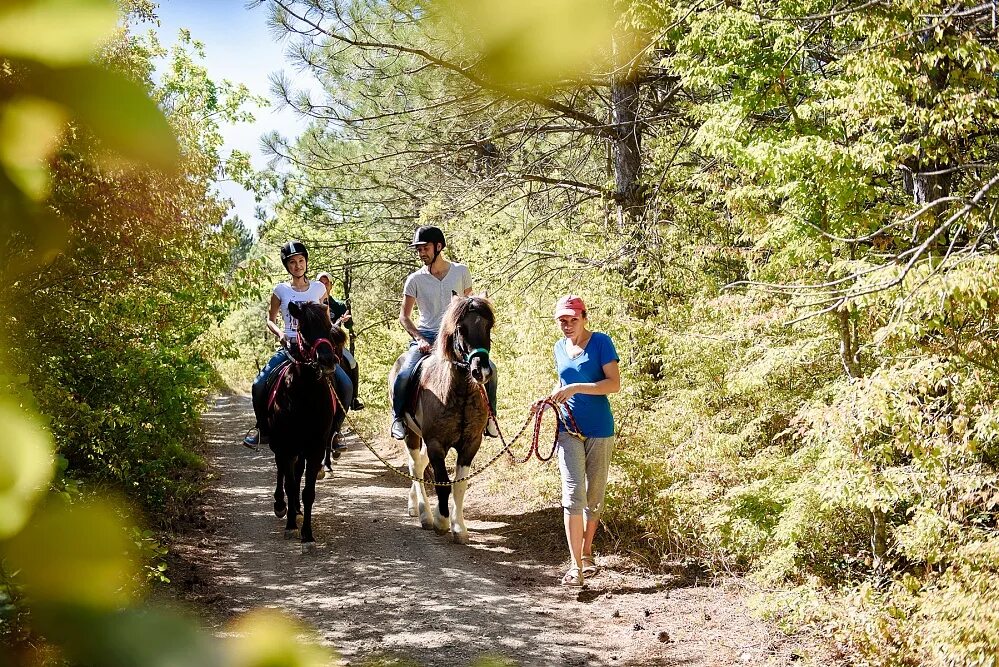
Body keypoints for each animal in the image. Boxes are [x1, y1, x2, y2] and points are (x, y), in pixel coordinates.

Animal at [266, 302, 348, 552]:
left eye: (329, 327)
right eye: (303, 329)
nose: (327, 360)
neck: (304, 394)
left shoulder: (315, 446)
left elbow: (307, 491)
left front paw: (308, 535)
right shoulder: (286, 445)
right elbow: (291, 485)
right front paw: (292, 525)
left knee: (295, 471)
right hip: (280, 445)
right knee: (283, 471)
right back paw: (281, 505)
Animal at [392, 294, 498, 544]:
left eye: (489, 326)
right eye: (461, 328)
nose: (481, 371)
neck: (459, 392)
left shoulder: (470, 444)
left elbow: (460, 486)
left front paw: (459, 528)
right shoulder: (436, 443)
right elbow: (443, 483)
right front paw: (441, 521)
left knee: (419, 466)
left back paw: (415, 507)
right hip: (412, 434)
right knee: (415, 467)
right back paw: (425, 515)